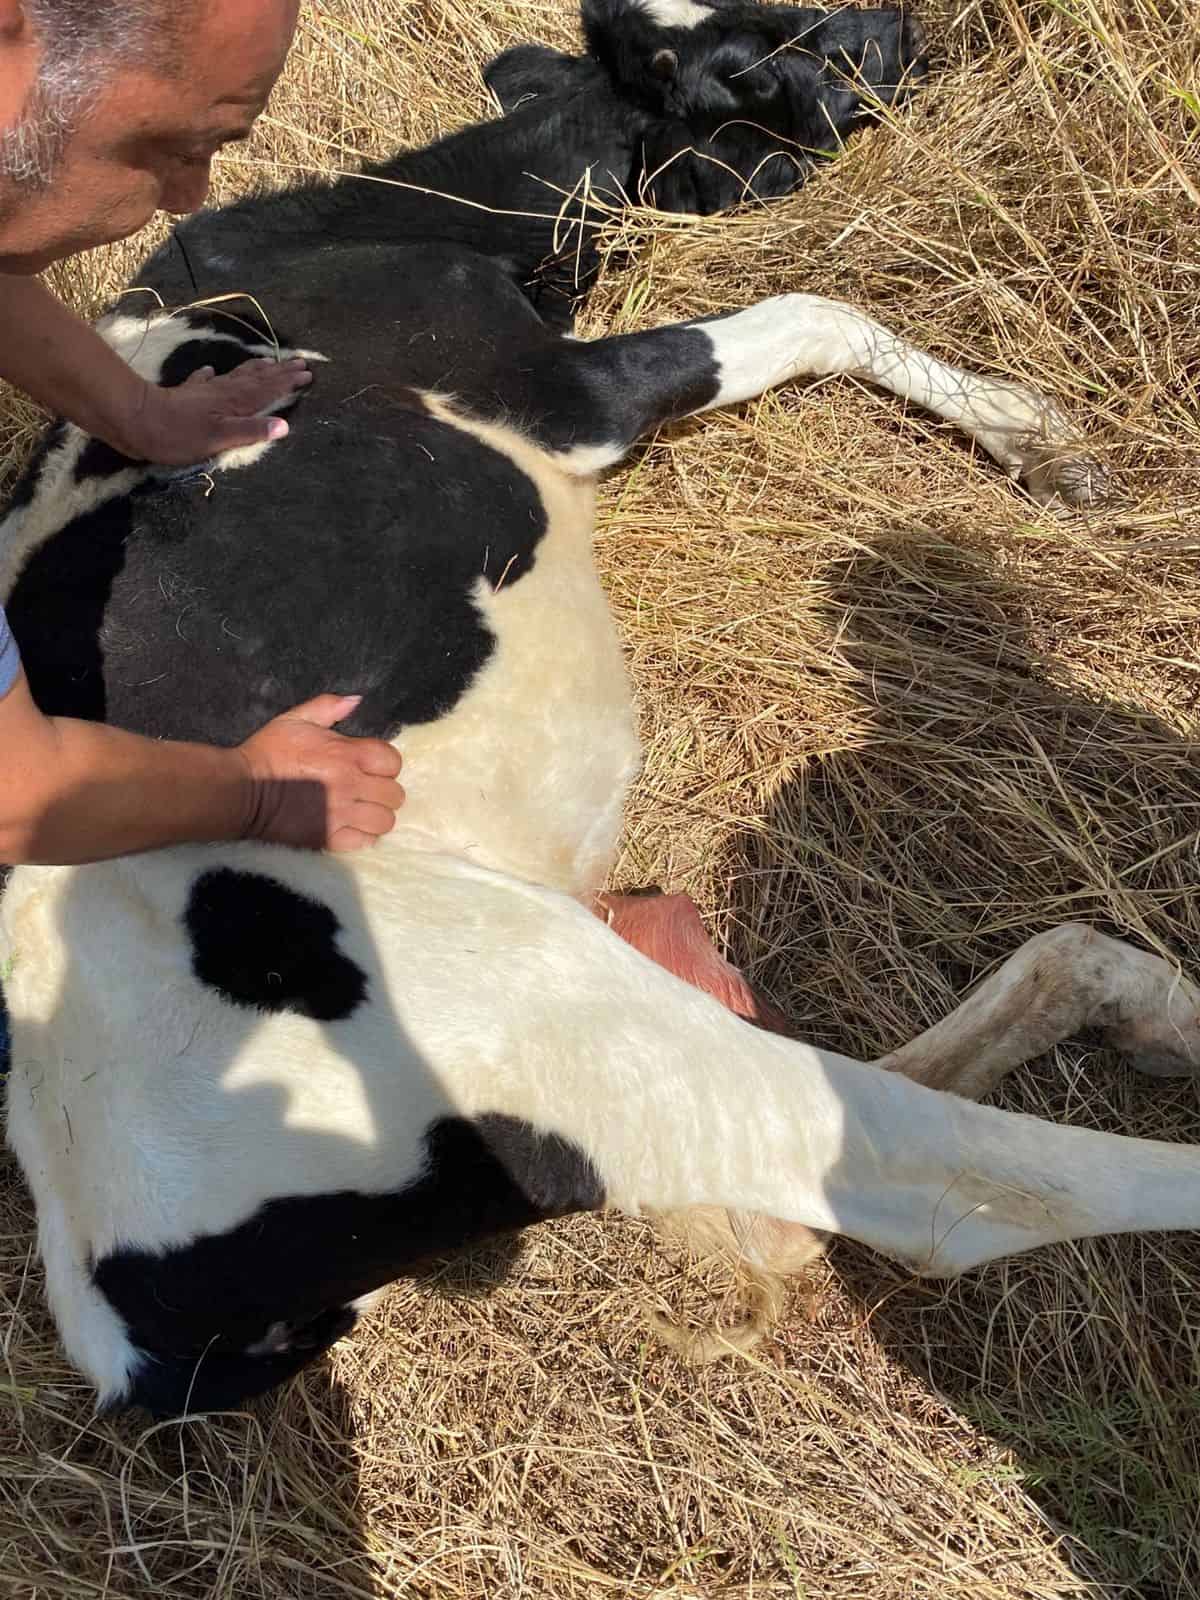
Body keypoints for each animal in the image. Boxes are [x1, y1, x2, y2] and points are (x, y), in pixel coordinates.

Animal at [3, 0, 1198, 1421]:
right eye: (777, 59)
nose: (907, 30)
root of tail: (112, 1310)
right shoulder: (565, 397)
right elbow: (812, 307)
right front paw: (1035, 431)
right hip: (543, 1011)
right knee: (938, 1180)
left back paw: (1144, 1002)